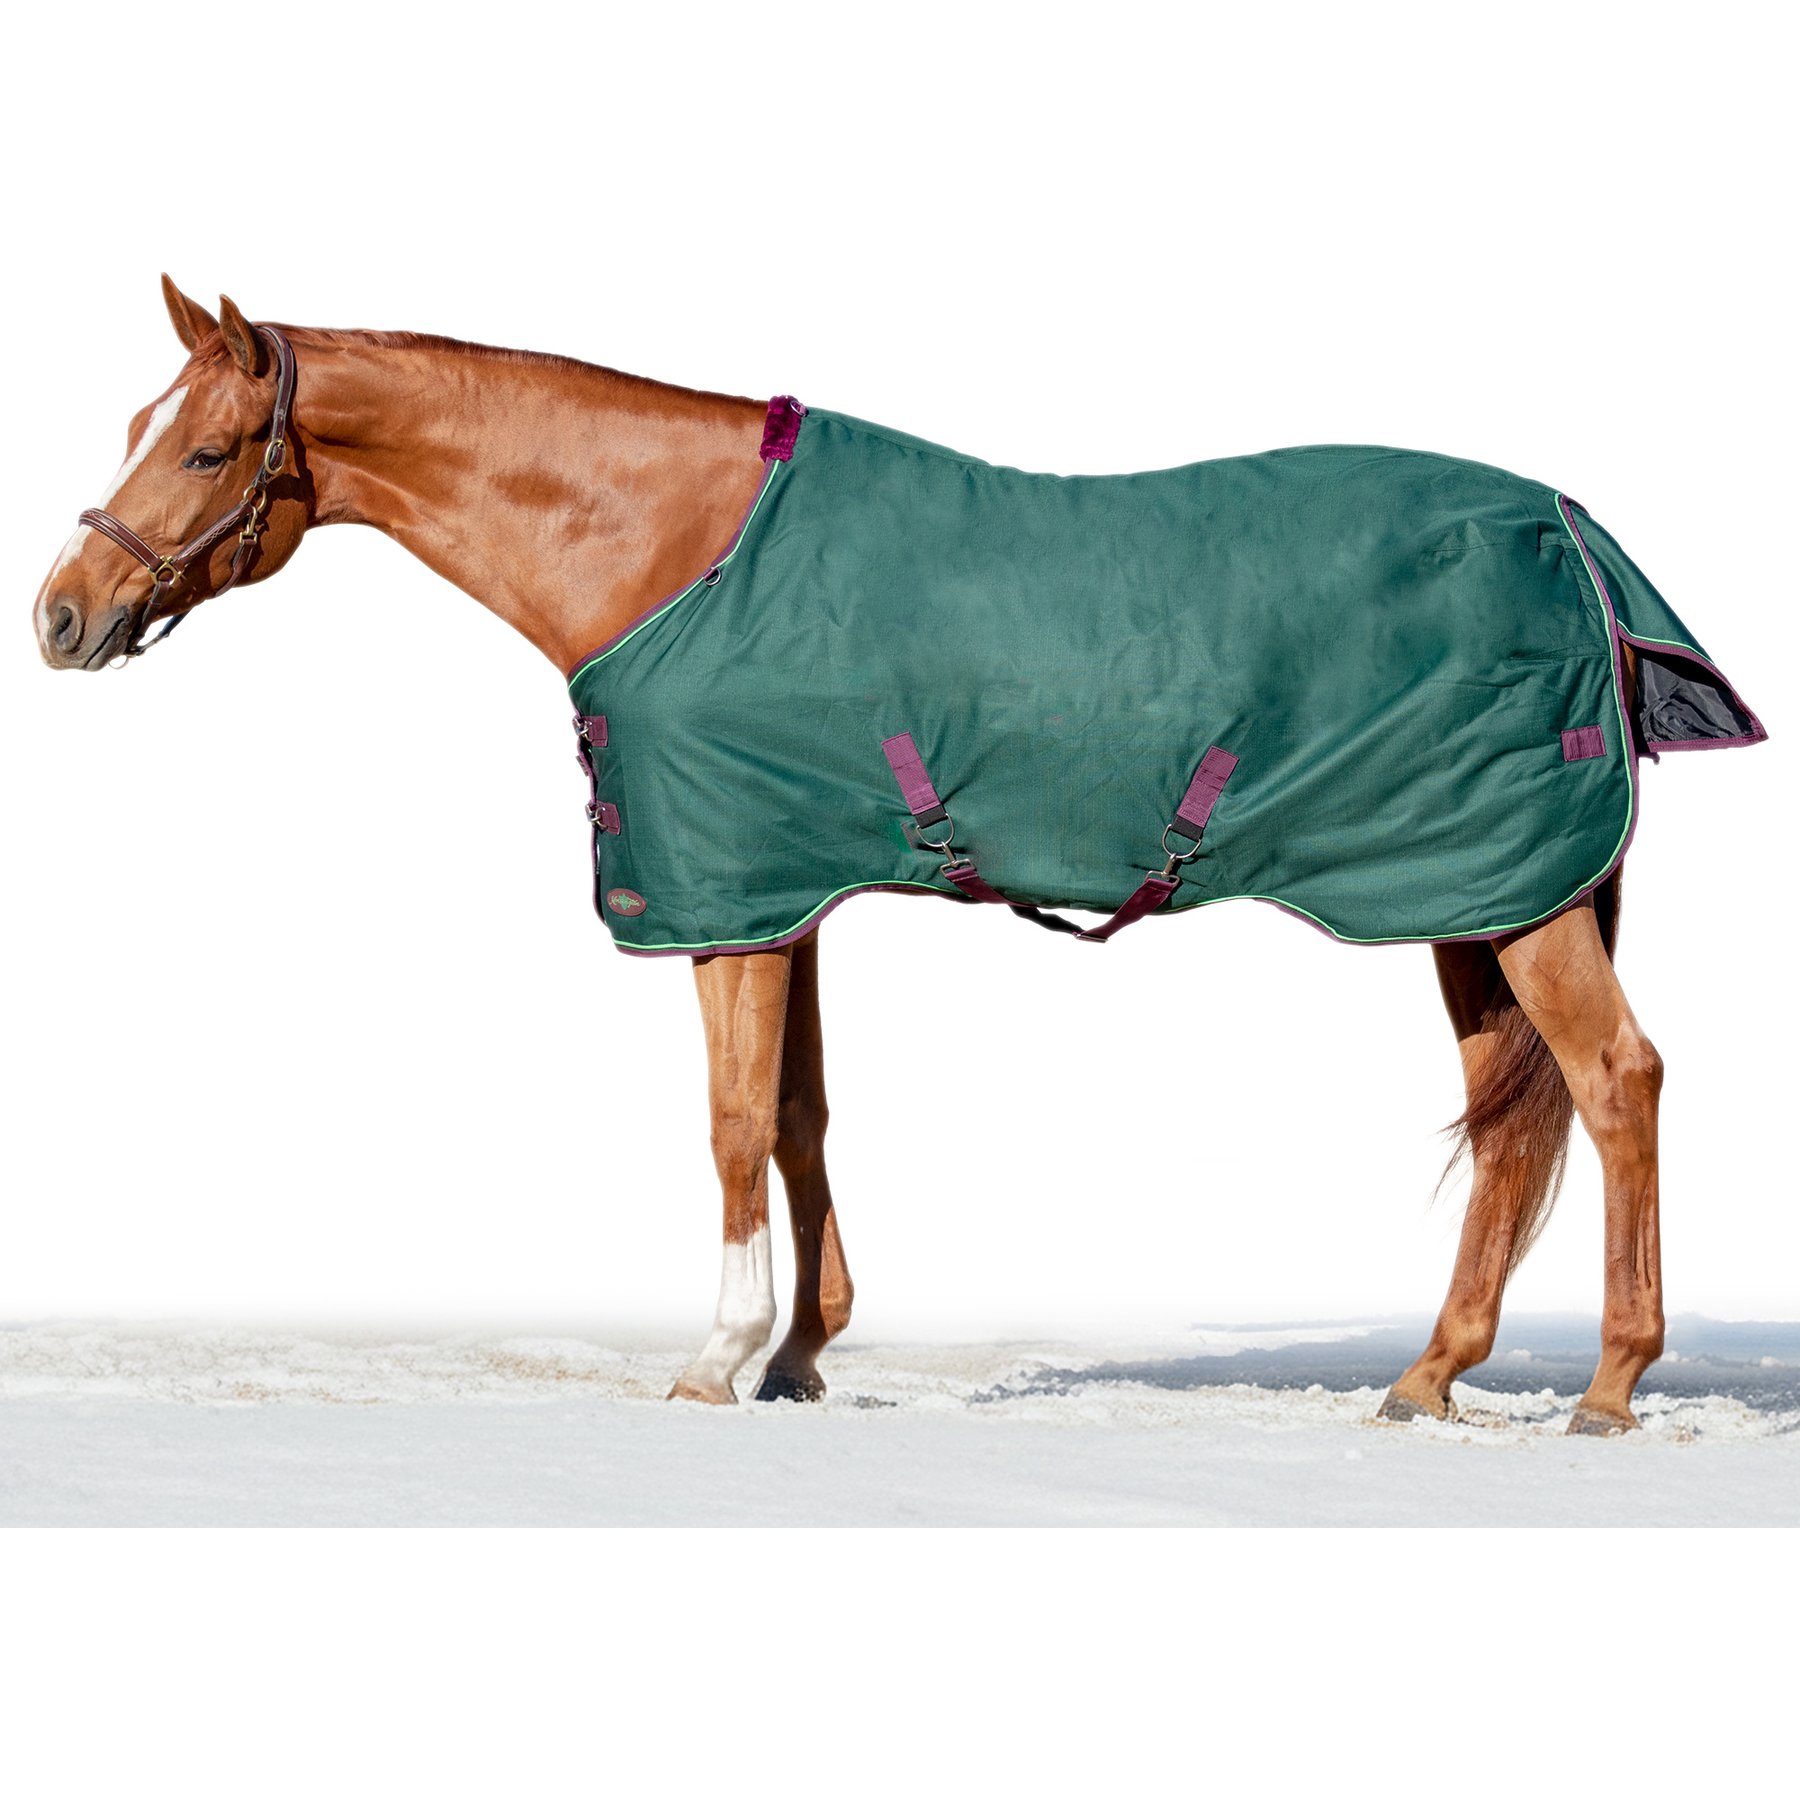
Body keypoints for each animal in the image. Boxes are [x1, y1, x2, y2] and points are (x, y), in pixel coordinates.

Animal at [32, 277, 1765, 1433]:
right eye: (133, 430)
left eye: (202, 455)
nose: (59, 616)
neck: (675, 550)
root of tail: (1568, 527)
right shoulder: (782, 886)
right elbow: (800, 1118)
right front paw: (803, 1356)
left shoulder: (723, 899)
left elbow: (731, 1125)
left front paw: (716, 1360)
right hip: (1465, 892)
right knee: (1516, 1118)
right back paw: (1427, 1376)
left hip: (1511, 893)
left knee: (1615, 1081)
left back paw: (1609, 1387)